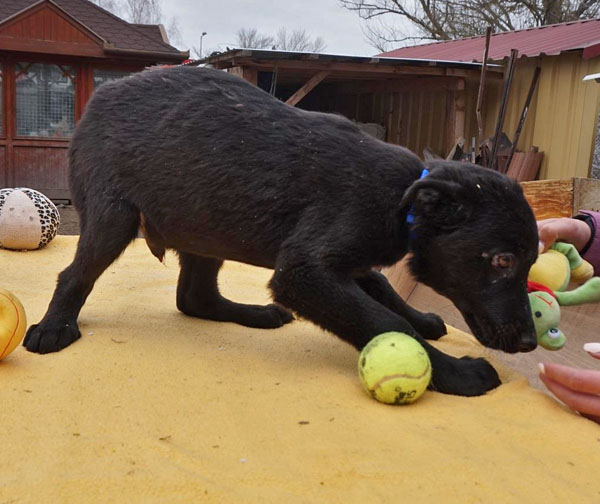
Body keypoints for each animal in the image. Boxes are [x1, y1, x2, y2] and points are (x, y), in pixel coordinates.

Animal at [24, 66, 540, 398]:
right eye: (502, 261)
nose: (530, 344)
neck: (404, 198)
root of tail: (96, 102)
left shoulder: (346, 262)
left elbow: (385, 293)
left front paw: (426, 321)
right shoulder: (305, 271)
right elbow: (383, 321)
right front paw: (457, 374)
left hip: (207, 224)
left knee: (194, 299)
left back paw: (257, 314)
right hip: (114, 218)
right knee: (73, 277)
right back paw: (53, 328)